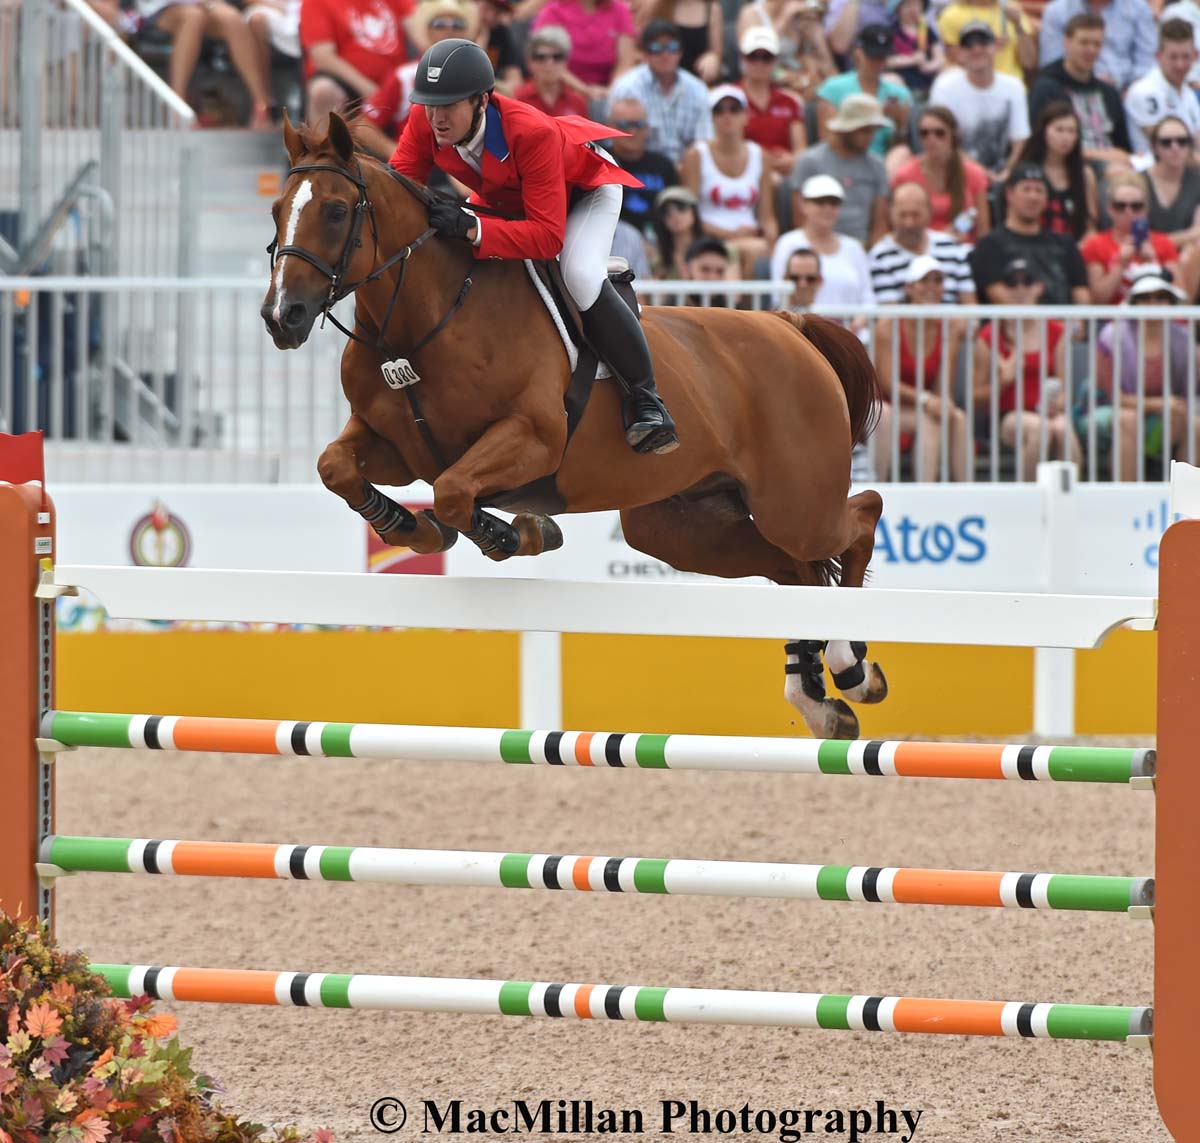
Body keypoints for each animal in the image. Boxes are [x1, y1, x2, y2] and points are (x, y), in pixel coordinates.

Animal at [258, 114, 888, 739]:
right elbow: (337, 468)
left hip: (794, 506)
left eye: (336, 210)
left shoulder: (534, 441)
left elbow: (455, 492)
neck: (422, 325)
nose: (281, 317)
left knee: (860, 516)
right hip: (684, 528)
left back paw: (852, 667)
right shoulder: (394, 444)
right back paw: (822, 701)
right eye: (276, 209)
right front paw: (411, 530)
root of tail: (789, 326)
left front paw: (519, 534)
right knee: (794, 570)